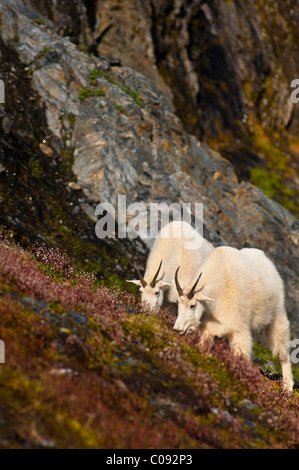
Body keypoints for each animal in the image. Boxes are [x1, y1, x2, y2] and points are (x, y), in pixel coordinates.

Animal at [175, 246, 294, 392]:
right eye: (178, 303)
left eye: (193, 305)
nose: (177, 329)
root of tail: (267, 261)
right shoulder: (208, 328)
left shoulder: (239, 329)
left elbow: (240, 354)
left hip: (277, 313)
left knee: (282, 348)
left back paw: (288, 386)